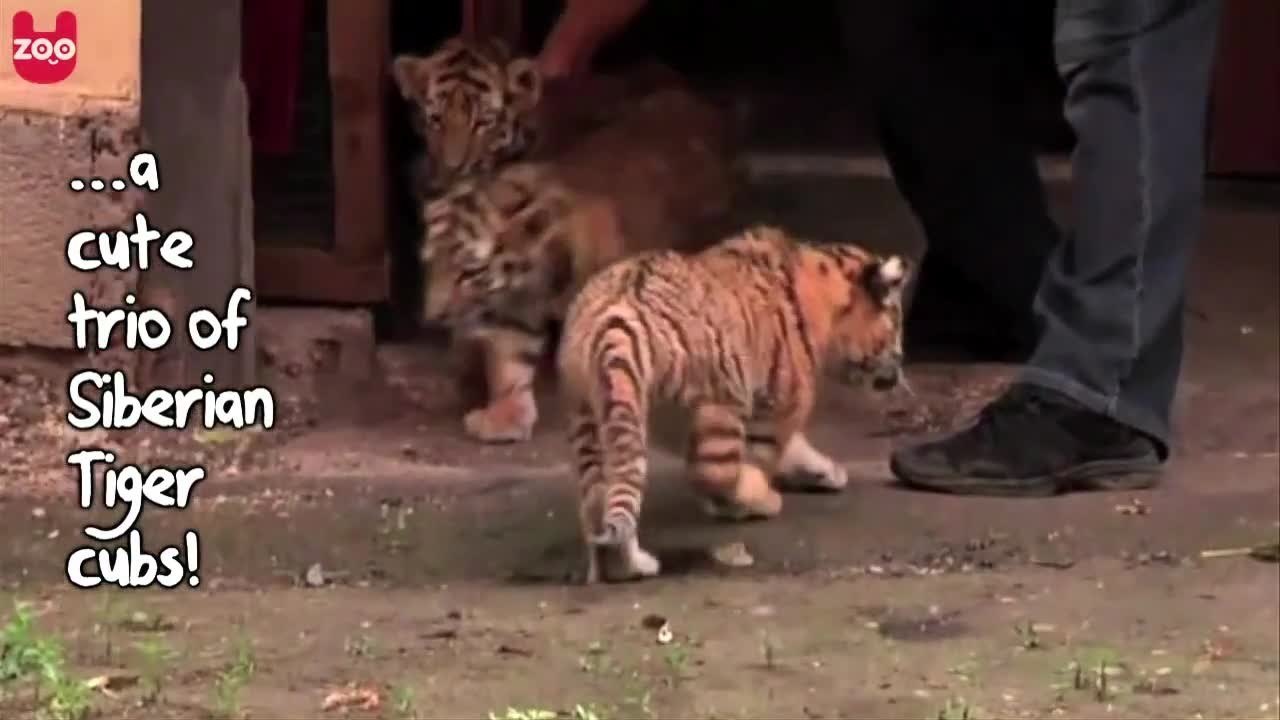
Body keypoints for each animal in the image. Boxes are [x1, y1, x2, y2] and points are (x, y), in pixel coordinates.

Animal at [420, 85, 741, 444]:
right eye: (430, 266)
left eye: (469, 271)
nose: (434, 317)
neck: (536, 276)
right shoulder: (515, 309)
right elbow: (510, 362)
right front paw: (507, 417)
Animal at [555, 225, 911, 584]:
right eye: (896, 322)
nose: (899, 366)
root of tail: (612, 321)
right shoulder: (776, 408)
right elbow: (761, 455)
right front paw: (749, 497)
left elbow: (794, 446)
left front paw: (825, 471)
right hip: (720, 400)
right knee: (712, 471)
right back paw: (757, 500)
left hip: (592, 418)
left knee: (601, 503)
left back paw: (623, 566)